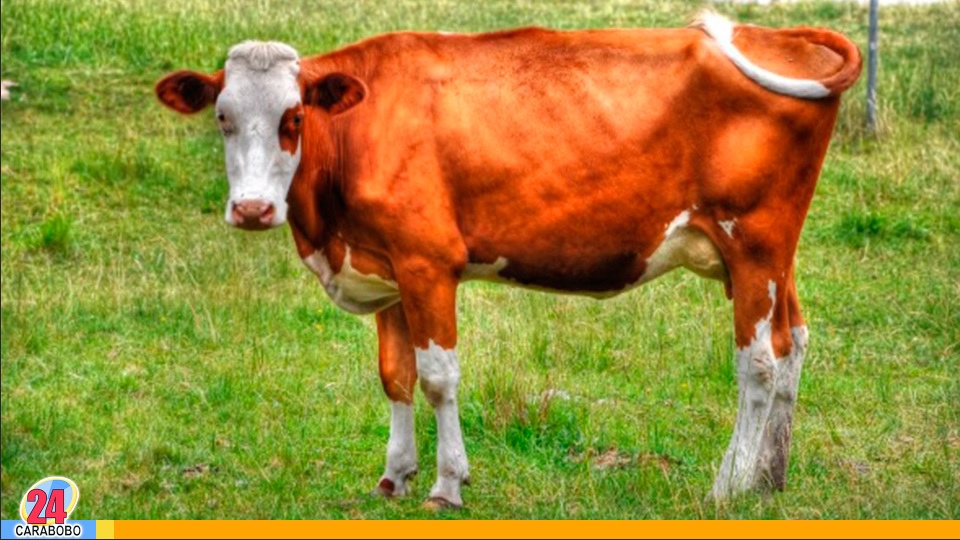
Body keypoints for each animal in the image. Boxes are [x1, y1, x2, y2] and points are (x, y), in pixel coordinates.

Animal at [155, 11, 861, 508]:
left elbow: (438, 377)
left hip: (754, 243)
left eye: (294, 116)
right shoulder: (386, 265)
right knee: (792, 343)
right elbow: (394, 375)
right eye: (222, 116)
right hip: (770, 257)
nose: (251, 209)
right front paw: (394, 476)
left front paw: (447, 485)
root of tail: (775, 34)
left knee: (758, 363)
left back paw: (727, 487)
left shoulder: (427, 262)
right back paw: (770, 478)